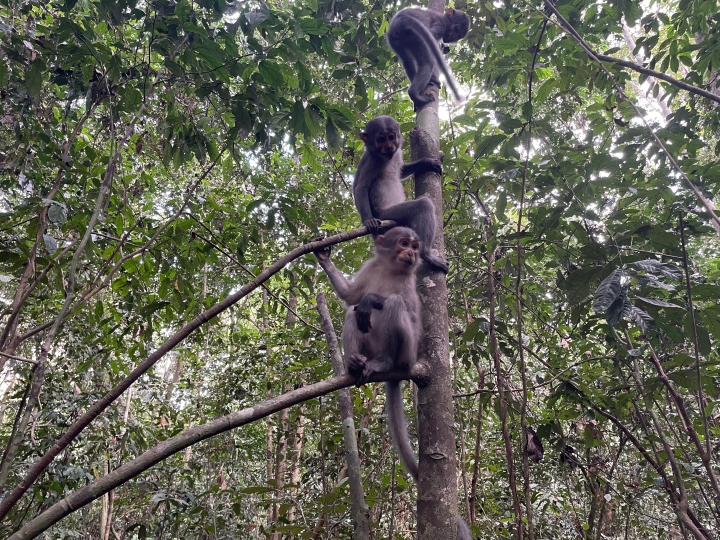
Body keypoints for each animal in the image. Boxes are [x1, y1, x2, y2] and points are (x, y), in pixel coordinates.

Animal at [312, 226, 470, 536]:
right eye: (404, 243)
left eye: (414, 246)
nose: (411, 252)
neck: (391, 268)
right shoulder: (371, 267)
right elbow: (350, 296)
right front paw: (324, 257)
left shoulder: (409, 284)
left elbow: (406, 312)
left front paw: (374, 299)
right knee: (352, 313)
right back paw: (355, 365)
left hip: (407, 354)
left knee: (393, 306)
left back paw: (384, 360)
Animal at [354, 114, 450, 274]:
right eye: (381, 139)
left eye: (391, 137)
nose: (389, 146)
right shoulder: (371, 161)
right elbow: (361, 188)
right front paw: (368, 221)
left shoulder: (396, 154)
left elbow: (402, 170)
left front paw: (426, 162)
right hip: (386, 216)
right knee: (423, 205)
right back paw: (426, 254)